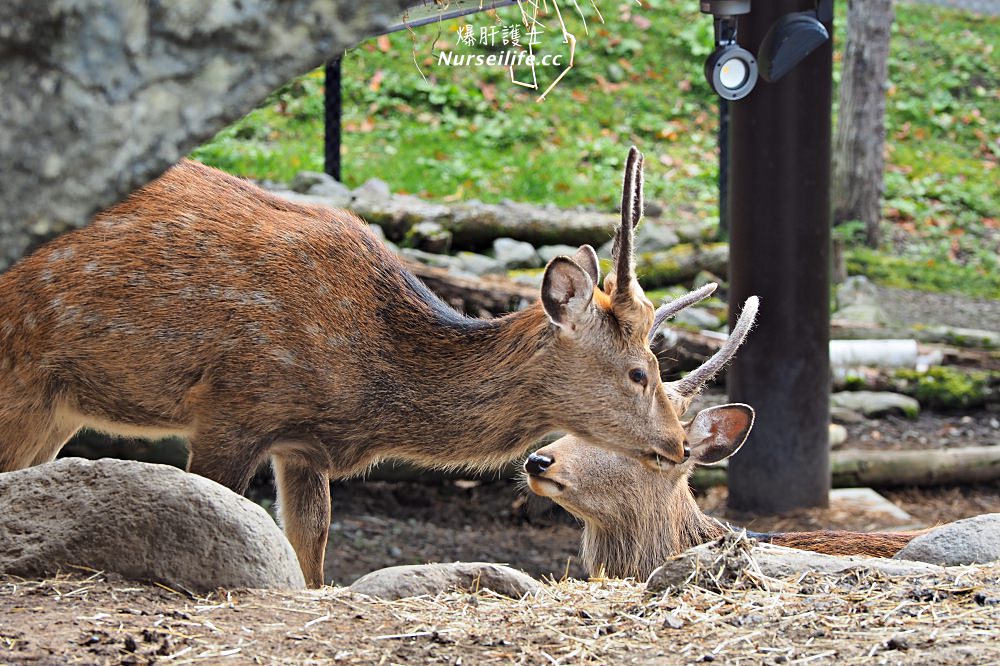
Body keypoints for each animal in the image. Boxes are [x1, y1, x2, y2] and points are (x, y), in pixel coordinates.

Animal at [0, 147, 744, 588]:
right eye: (640, 371)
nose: (679, 445)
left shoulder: (302, 445)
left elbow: (311, 549)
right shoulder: (233, 404)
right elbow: (227, 515)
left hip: (57, 403)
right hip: (22, 373)